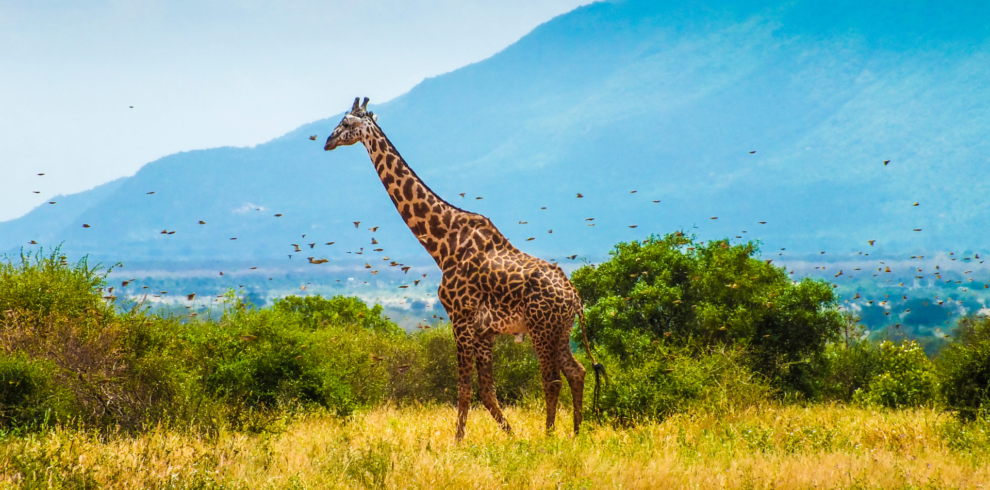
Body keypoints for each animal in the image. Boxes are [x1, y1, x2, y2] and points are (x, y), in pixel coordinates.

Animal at [325, 97, 604, 440]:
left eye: (346, 123)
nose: (327, 141)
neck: (443, 244)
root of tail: (574, 297)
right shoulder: (485, 329)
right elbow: (487, 390)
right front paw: (511, 436)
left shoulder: (460, 317)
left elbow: (464, 388)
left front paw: (458, 442)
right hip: (561, 329)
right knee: (577, 372)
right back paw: (576, 434)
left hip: (542, 328)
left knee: (552, 380)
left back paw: (549, 436)